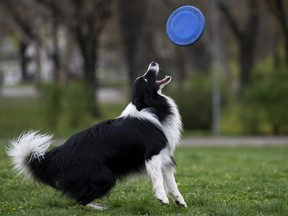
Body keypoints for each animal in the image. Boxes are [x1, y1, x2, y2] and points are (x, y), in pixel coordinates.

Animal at [7, 61, 187, 210]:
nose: (153, 62)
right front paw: (162, 198)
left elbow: (172, 183)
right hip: (105, 177)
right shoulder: (152, 153)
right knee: (80, 200)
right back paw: (101, 208)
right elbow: (158, 178)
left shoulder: (165, 156)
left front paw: (180, 202)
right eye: (144, 79)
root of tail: (57, 154)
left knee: (78, 199)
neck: (148, 105)